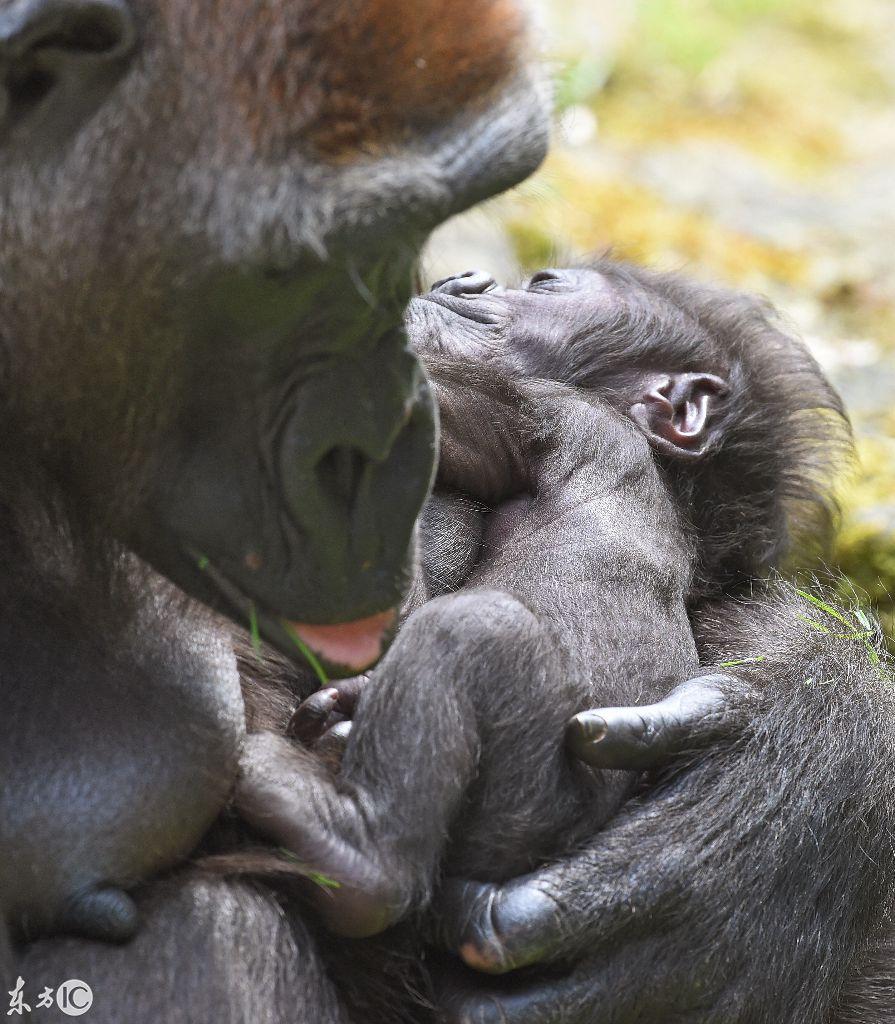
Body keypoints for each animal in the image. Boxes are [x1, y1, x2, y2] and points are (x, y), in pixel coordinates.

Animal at [233, 258, 839, 950]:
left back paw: (356, 852)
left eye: (545, 284)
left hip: (522, 796)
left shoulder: (552, 409)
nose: (472, 278)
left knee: (468, 634)